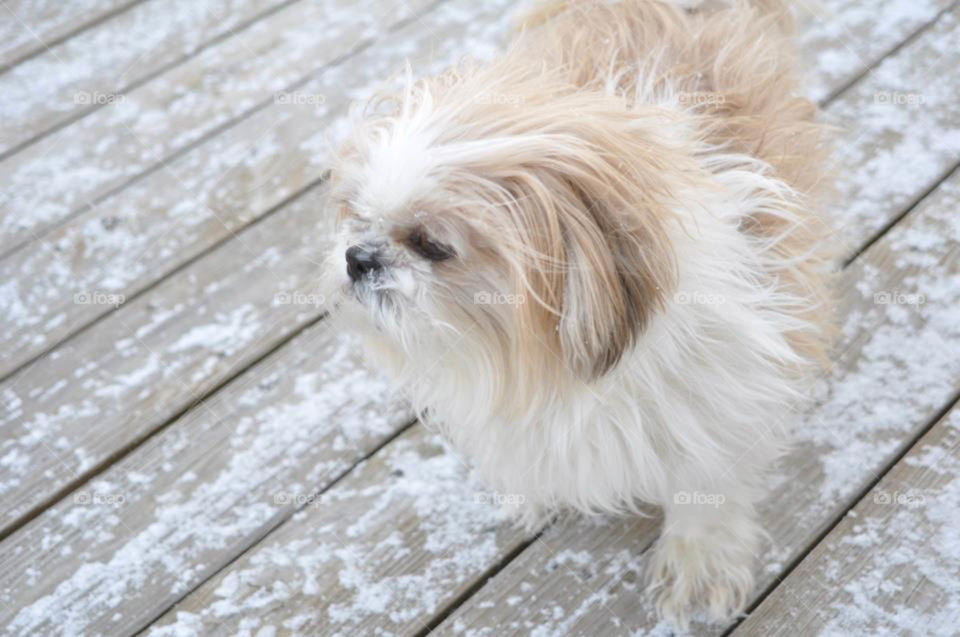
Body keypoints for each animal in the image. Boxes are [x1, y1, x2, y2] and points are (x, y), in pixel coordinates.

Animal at [320, 0, 832, 628]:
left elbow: (706, 488)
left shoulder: (724, 388)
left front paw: (699, 564)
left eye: (432, 245)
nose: (358, 257)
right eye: (358, 217)